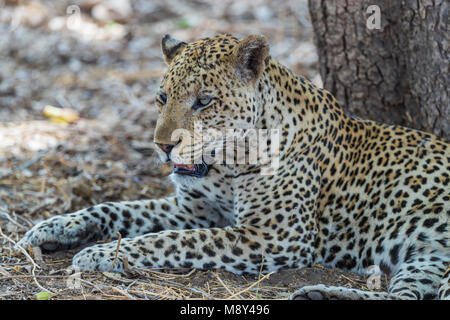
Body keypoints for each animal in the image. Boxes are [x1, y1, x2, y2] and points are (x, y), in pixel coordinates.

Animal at [19, 33, 448, 298]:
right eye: (162, 97)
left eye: (204, 101)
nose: (162, 146)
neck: (226, 165)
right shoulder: (194, 210)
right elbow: (118, 208)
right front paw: (52, 227)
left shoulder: (274, 236)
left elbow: (175, 241)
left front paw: (101, 254)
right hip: (425, 259)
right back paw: (320, 295)